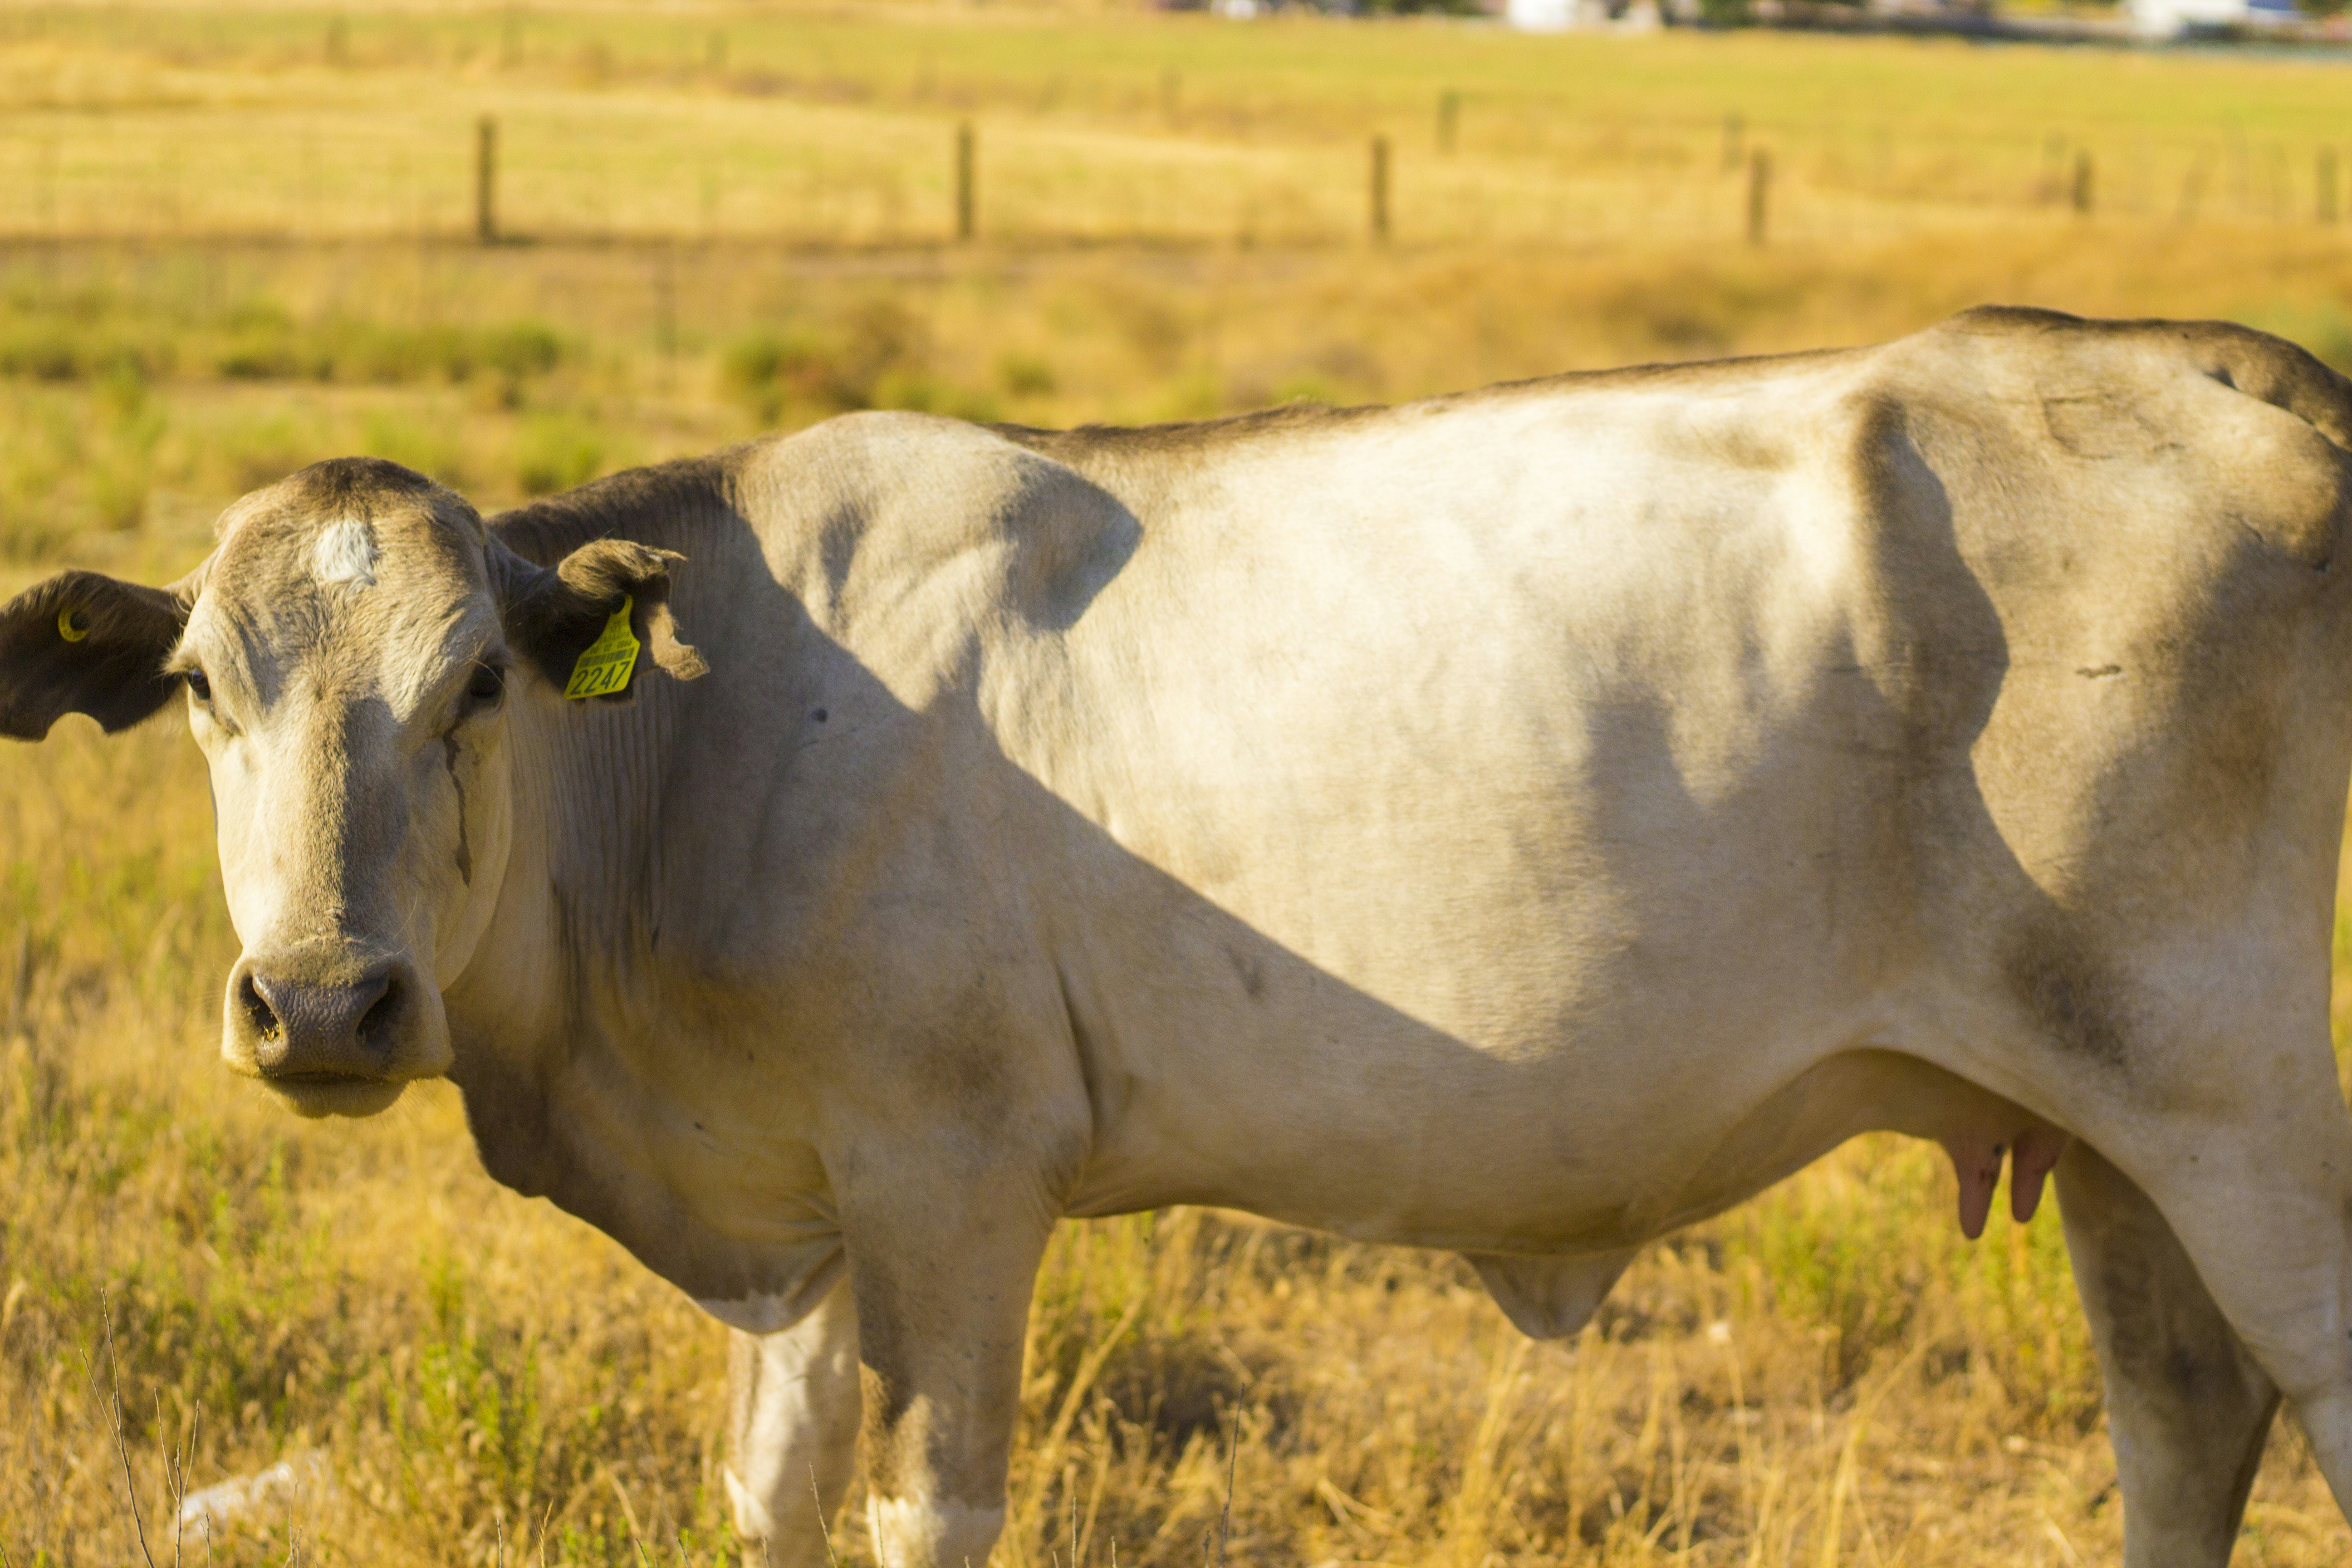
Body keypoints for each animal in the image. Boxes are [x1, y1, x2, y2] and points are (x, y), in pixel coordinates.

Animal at [4, 305, 2350, 1567]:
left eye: (478, 680)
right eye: (203, 684)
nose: (324, 999)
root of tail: (2180, 360)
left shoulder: (955, 1180)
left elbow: (923, 1500)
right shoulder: (811, 1212)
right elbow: (772, 1484)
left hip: (2236, 1100)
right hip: (2111, 1120)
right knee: (2179, 1414)